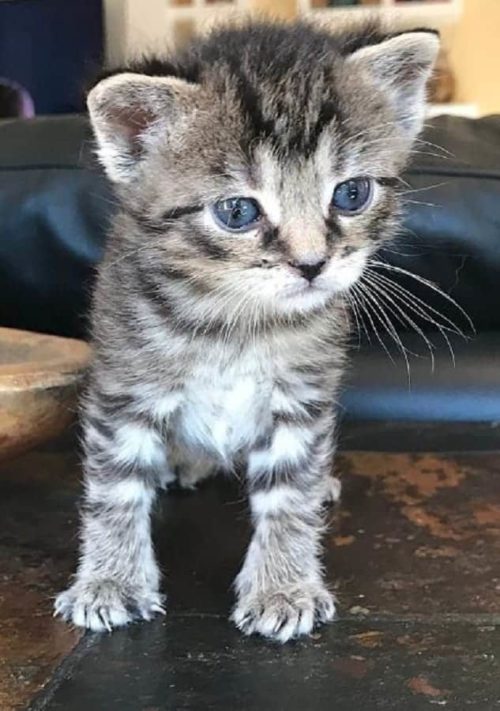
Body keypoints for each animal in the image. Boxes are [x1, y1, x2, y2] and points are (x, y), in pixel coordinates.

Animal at [54, 19, 438, 644]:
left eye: (351, 193)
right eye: (237, 212)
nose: (312, 264)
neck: (234, 322)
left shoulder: (303, 396)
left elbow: (289, 493)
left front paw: (284, 587)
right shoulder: (124, 385)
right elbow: (115, 488)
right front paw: (110, 581)